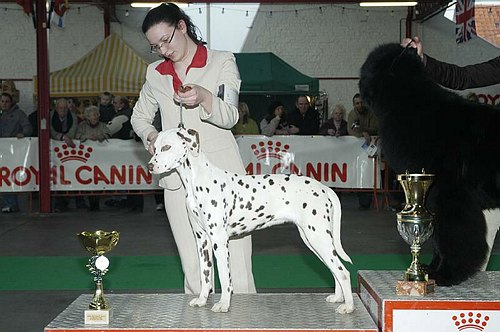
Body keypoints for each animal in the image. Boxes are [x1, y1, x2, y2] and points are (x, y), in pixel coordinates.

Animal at [148, 127, 356, 314]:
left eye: (167, 147)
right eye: (154, 147)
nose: (150, 166)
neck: (197, 181)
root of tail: (324, 188)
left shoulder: (219, 240)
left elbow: (224, 276)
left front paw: (223, 304)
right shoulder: (202, 240)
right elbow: (205, 275)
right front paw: (202, 300)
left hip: (318, 238)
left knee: (343, 272)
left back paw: (348, 306)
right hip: (313, 240)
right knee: (335, 270)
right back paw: (338, 298)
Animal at [360, 42, 500, 286]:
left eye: (372, 63)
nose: (360, 81)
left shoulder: (448, 195)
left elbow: (452, 236)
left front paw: (446, 274)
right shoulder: (431, 197)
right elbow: (438, 239)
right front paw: (429, 270)